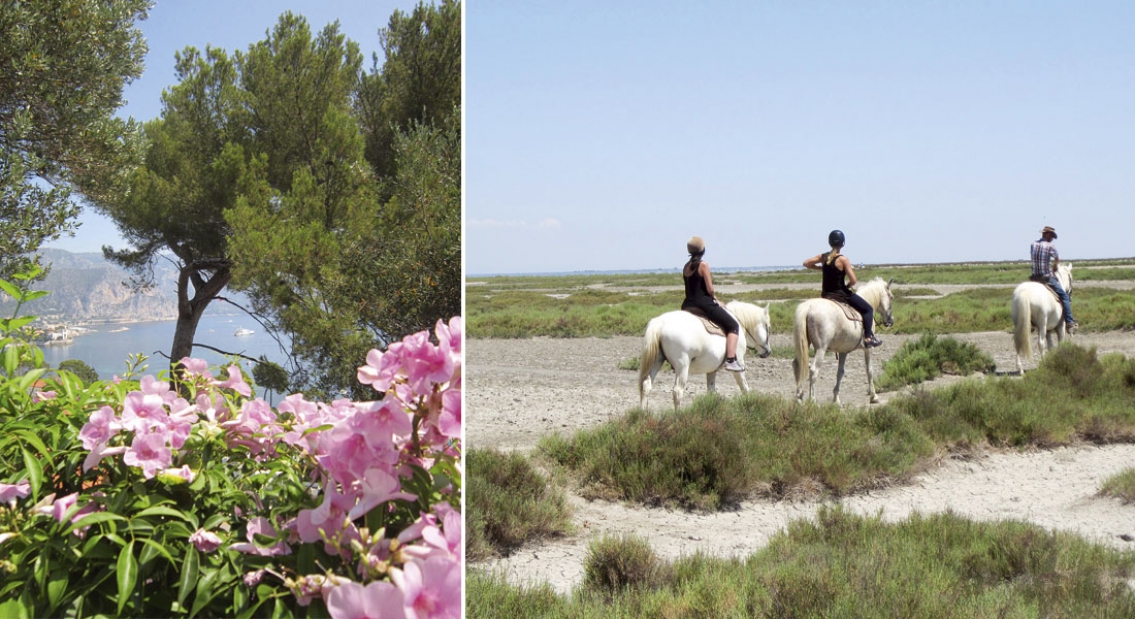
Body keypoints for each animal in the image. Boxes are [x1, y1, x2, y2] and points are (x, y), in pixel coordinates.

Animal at [640, 299, 771, 408]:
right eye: (768, 327)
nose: (768, 352)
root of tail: (661, 323)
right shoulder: (739, 365)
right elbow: (744, 388)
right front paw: (750, 404)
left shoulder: (712, 370)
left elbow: (711, 391)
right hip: (682, 366)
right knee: (677, 391)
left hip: (657, 361)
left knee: (646, 385)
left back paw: (643, 414)